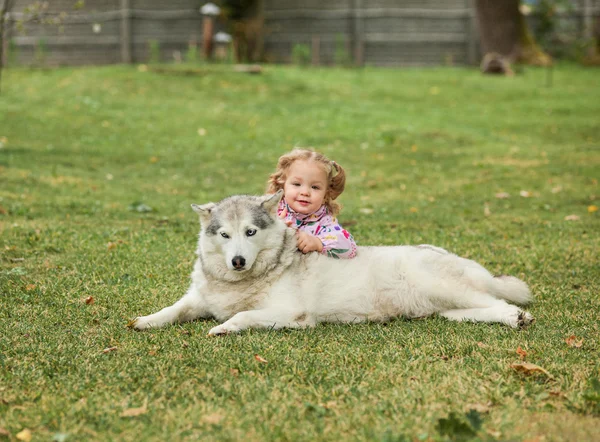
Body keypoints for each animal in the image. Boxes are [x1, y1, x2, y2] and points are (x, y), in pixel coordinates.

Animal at [131, 190, 536, 334]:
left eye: (250, 232)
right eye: (224, 235)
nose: (238, 262)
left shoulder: (293, 316)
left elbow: (242, 316)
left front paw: (223, 328)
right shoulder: (198, 299)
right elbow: (173, 310)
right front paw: (146, 321)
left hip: (442, 285)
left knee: (500, 301)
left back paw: (516, 317)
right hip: (446, 308)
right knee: (478, 309)